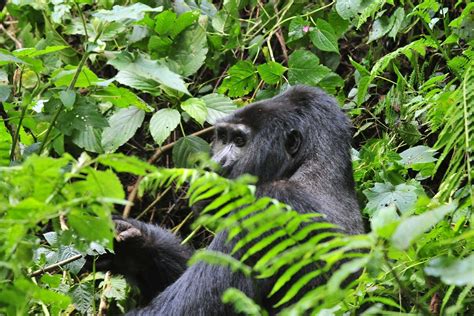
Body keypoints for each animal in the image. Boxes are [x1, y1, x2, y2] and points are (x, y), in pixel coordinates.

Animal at [103, 85, 362, 314]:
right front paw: (135, 245)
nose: (212, 165)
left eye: (239, 141)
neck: (310, 167)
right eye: (223, 137)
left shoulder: (267, 208)